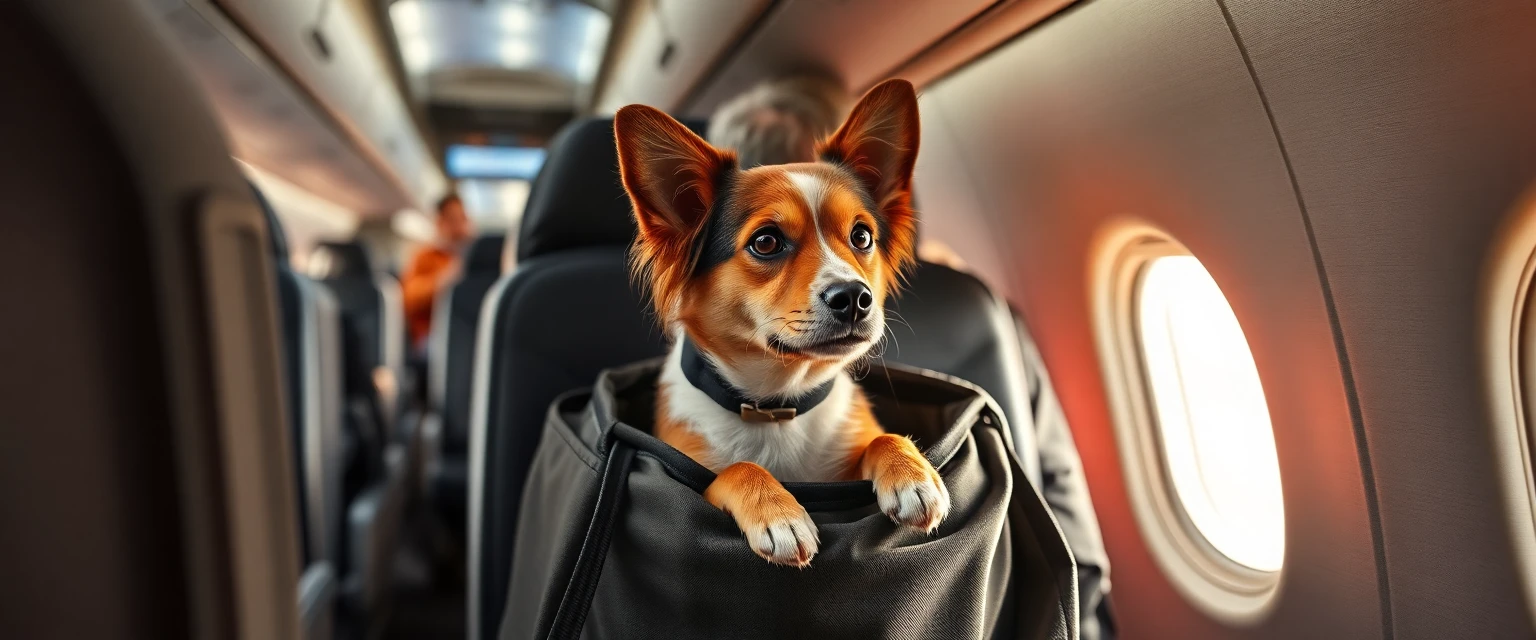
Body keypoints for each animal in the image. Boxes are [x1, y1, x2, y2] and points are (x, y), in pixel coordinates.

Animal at [611, 78, 946, 564]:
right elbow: (734, 468)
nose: (855, 298)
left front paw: (912, 471)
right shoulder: (686, 469)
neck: (777, 406)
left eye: (862, 236)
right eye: (766, 242)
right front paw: (777, 513)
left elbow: (882, 437)